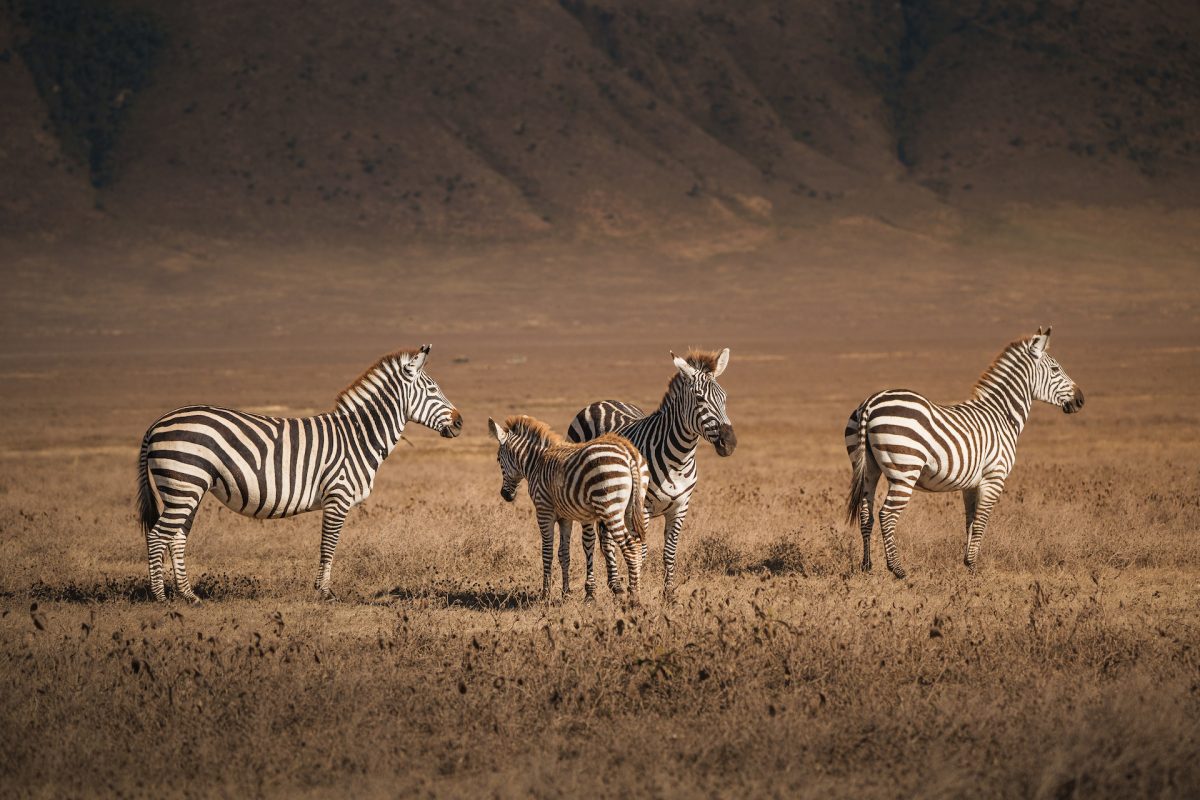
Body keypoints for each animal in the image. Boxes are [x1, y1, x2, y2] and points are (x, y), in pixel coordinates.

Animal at [136, 345, 462, 602]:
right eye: (432, 389)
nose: (460, 422)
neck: (358, 436)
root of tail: (155, 424)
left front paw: (322, 590)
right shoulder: (338, 496)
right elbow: (328, 545)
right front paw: (325, 592)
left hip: (187, 489)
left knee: (176, 538)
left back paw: (189, 595)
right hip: (184, 483)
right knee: (157, 536)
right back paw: (160, 597)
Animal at [487, 415, 649, 600]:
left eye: (498, 460)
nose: (505, 495)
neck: (537, 462)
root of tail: (628, 451)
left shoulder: (544, 511)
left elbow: (547, 552)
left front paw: (546, 594)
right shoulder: (565, 517)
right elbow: (564, 553)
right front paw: (565, 593)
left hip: (610, 507)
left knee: (630, 546)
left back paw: (634, 598)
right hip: (633, 507)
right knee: (638, 545)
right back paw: (635, 590)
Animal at [566, 348, 736, 600]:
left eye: (724, 398)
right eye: (699, 399)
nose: (730, 443)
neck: (679, 460)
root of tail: (601, 402)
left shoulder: (680, 507)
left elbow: (669, 551)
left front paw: (669, 594)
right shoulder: (643, 508)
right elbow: (641, 551)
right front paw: (635, 591)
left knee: (607, 539)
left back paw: (615, 586)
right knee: (589, 541)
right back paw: (591, 594)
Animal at [845, 327, 1084, 577]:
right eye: (1055, 369)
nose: (1080, 400)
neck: (1002, 415)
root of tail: (870, 403)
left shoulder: (971, 483)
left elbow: (969, 521)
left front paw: (968, 564)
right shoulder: (994, 477)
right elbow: (980, 522)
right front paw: (974, 568)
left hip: (868, 469)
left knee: (866, 514)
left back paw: (867, 566)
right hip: (905, 470)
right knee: (887, 515)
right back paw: (897, 569)